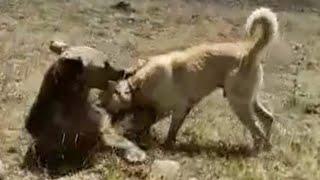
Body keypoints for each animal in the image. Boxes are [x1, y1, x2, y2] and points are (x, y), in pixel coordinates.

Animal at [102, 7, 278, 150]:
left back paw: (256, 150)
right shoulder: (177, 109)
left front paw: (166, 145)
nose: (101, 107)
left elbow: (170, 130)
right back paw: (266, 147)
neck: (140, 83)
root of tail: (249, 53)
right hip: (250, 102)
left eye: (107, 99)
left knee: (257, 129)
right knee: (268, 119)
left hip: (239, 105)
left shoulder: (179, 108)